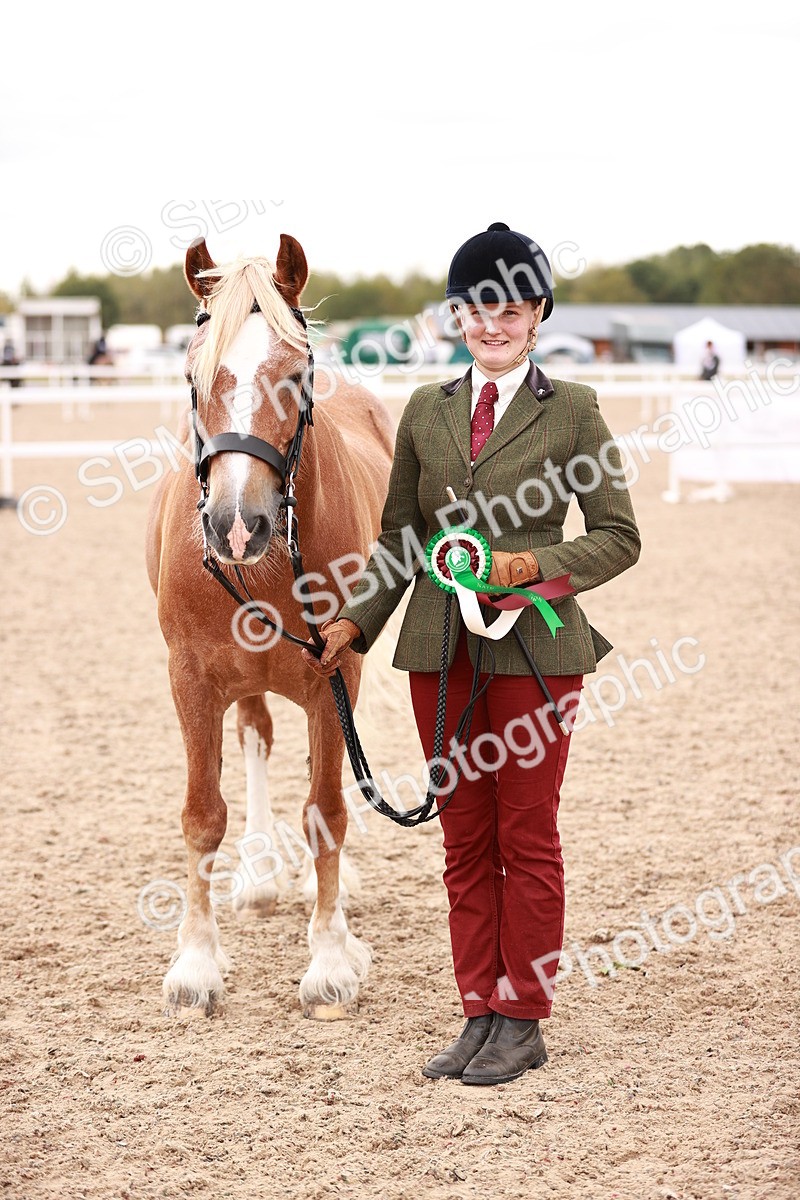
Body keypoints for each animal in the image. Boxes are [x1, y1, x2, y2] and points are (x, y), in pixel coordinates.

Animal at [145, 234, 394, 1019]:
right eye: (194, 376)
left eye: (295, 374)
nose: (236, 524)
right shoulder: (190, 676)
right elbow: (202, 814)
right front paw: (196, 965)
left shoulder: (337, 669)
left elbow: (327, 812)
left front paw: (331, 960)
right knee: (255, 732)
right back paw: (256, 876)